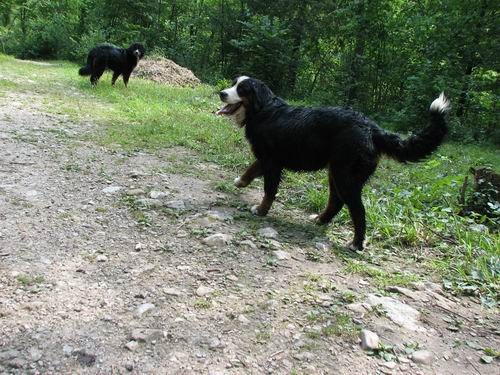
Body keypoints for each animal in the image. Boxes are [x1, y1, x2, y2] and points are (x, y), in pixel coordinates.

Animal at [217, 75, 452, 253]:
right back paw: (321, 219)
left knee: (358, 211)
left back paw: (356, 244)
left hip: (345, 177)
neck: (263, 110)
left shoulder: (272, 162)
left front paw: (261, 210)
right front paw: (240, 181)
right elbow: (251, 169)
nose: (221, 93)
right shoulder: (267, 158)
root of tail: (372, 128)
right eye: (233, 83)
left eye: (242, 89)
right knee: (336, 202)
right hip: (336, 173)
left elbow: (269, 190)